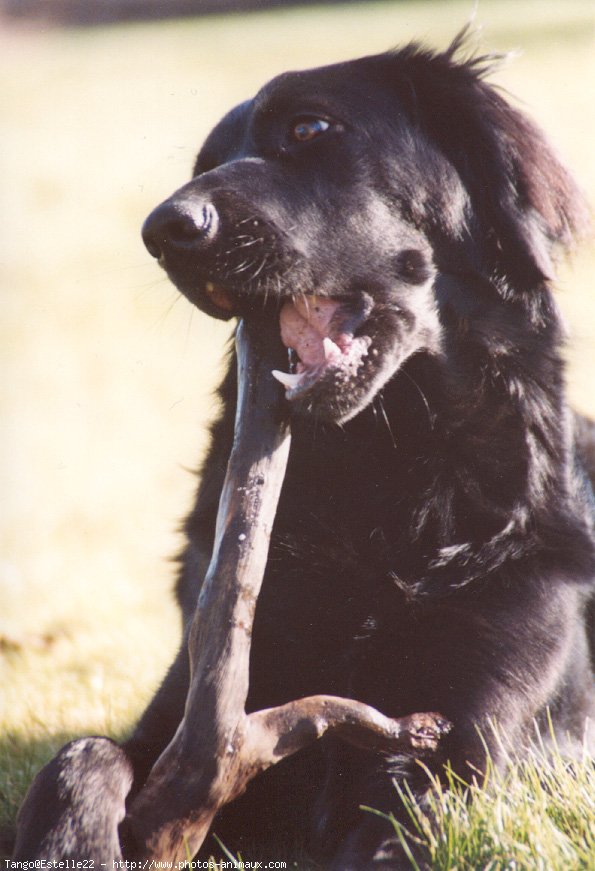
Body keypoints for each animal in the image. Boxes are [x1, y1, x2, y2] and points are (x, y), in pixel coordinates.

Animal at [14, 30, 595, 868]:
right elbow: (80, 756)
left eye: (308, 128)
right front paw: (73, 842)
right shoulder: (184, 716)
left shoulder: (475, 744)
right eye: (202, 163)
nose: (163, 232)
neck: (373, 485)